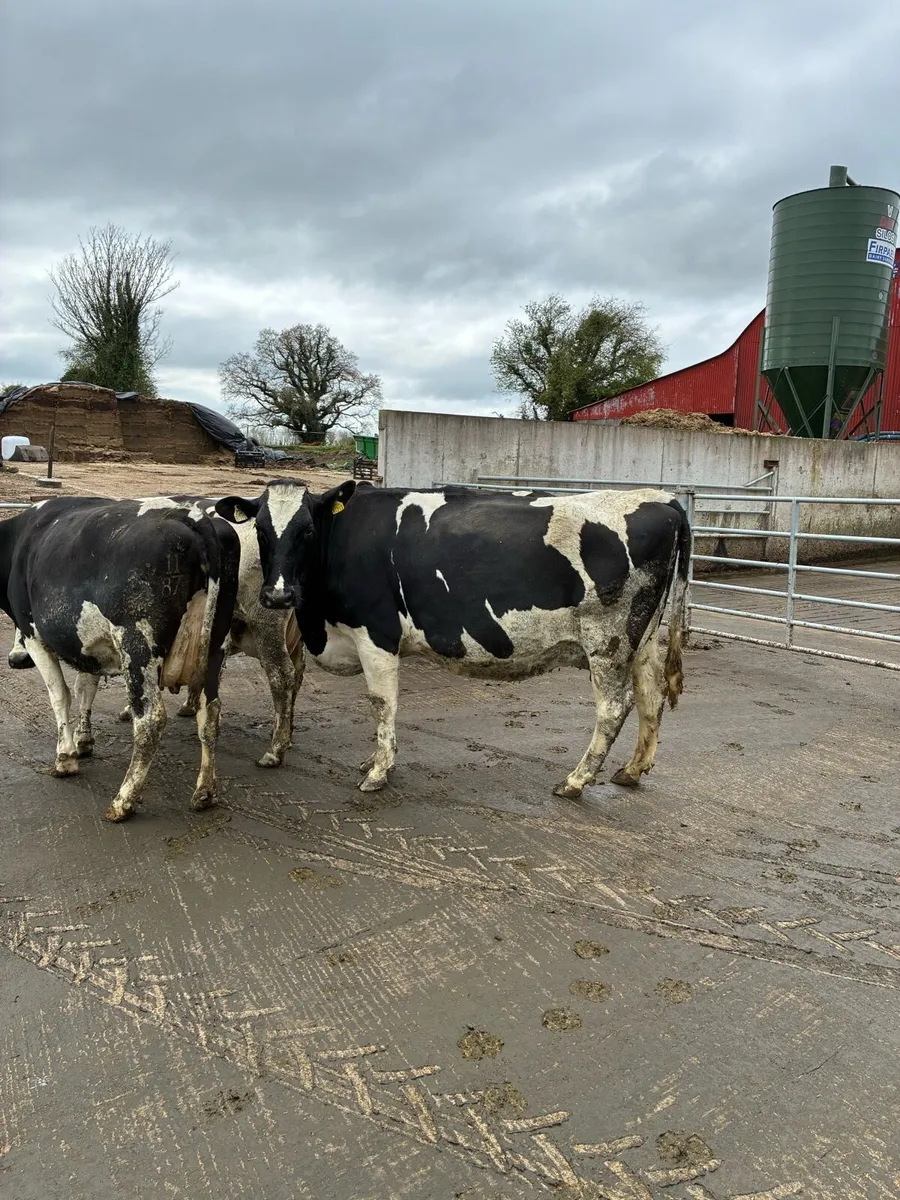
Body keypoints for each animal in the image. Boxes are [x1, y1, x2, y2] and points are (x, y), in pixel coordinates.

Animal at [0, 497, 240, 821]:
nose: (16, 660)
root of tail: (193, 516)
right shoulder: (88, 647)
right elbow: (85, 689)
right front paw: (83, 741)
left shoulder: (33, 635)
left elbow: (59, 695)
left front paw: (65, 758)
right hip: (216, 646)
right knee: (210, 714)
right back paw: (204, 792)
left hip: (138, 645)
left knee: (150, 720)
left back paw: (123, 801)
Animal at [212, 479, 691, 799]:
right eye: (261, 532)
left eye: (307, 531)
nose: (277, 596)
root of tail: (662, 498)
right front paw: (376, 761)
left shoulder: (377, 635)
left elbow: (382, 704)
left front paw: (377, 771)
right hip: (641, 640)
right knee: (649, 697)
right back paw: (631, 770)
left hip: (607, 642)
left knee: (613, 708)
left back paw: (575, 780)